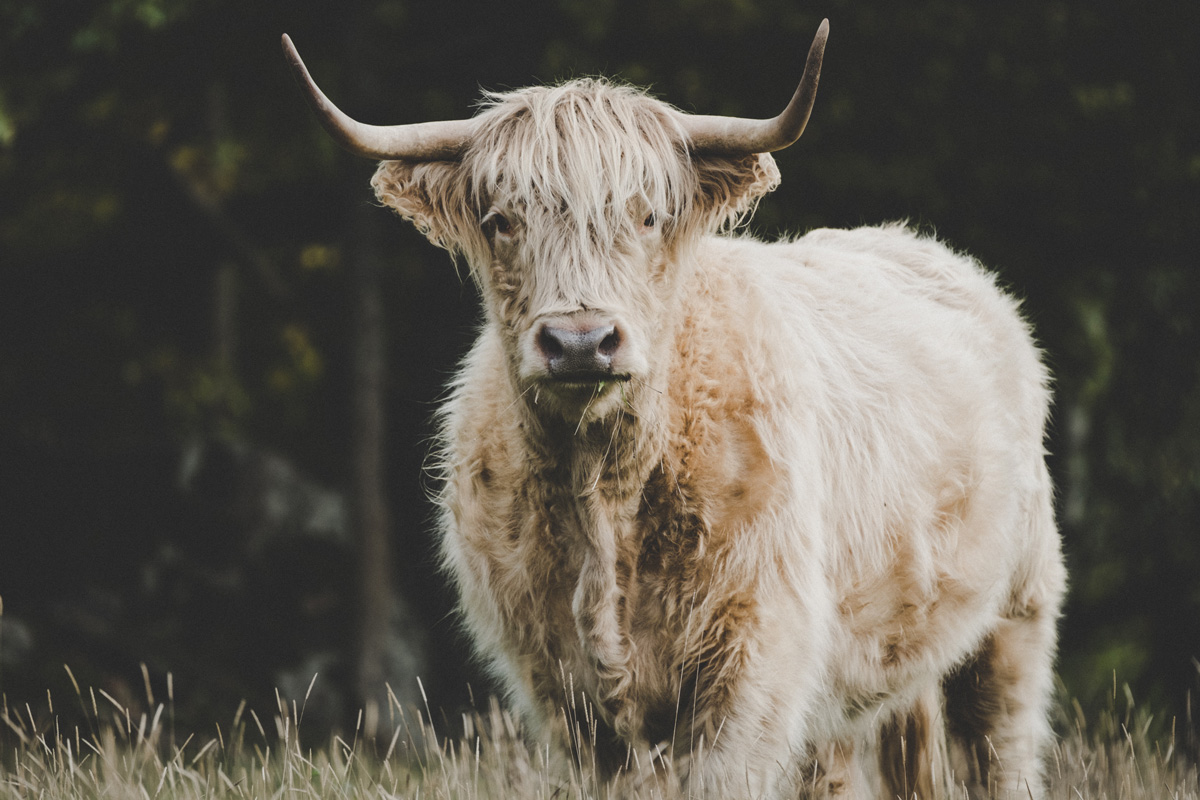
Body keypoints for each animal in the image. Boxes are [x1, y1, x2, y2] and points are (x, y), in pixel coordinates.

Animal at [283, 21, 1070, 796]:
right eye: (502, 220)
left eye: (649, 216)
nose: (580, 342)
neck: (604, 491)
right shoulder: (567, 696)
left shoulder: (752, 670)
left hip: (1015, 617)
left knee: (999, 749)